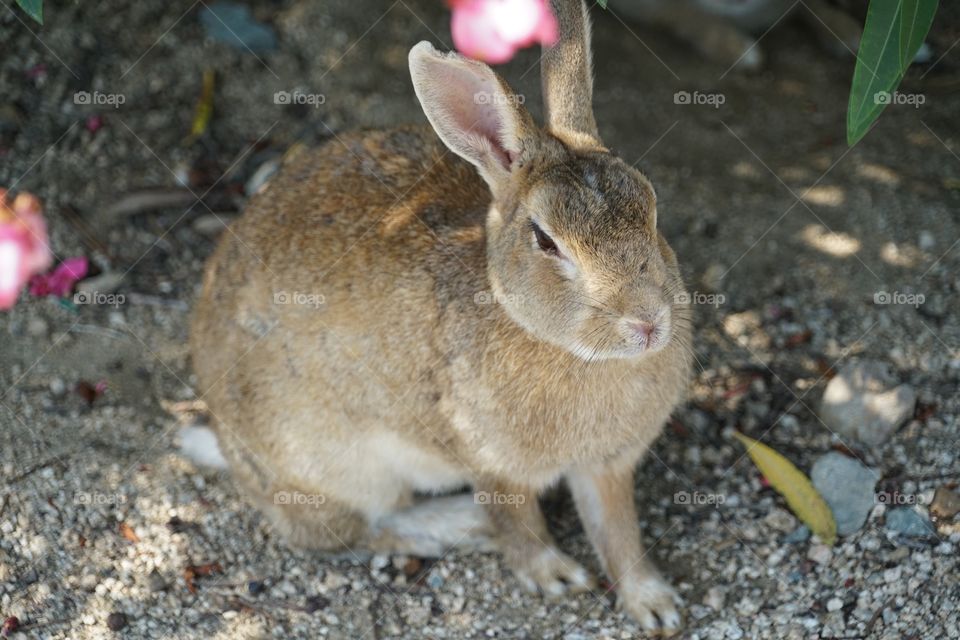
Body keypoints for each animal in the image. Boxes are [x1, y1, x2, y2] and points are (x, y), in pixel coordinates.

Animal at [188, 0, 693, 633]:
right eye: (546, 241)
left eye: (651, 209)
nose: (647, 324)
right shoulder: (489, 461)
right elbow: (518, 522)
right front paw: (553, 575)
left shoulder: (608, 466)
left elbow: (619, 531)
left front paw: (655, 606)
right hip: (329, 461)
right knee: (353, 529)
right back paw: (458, 522)